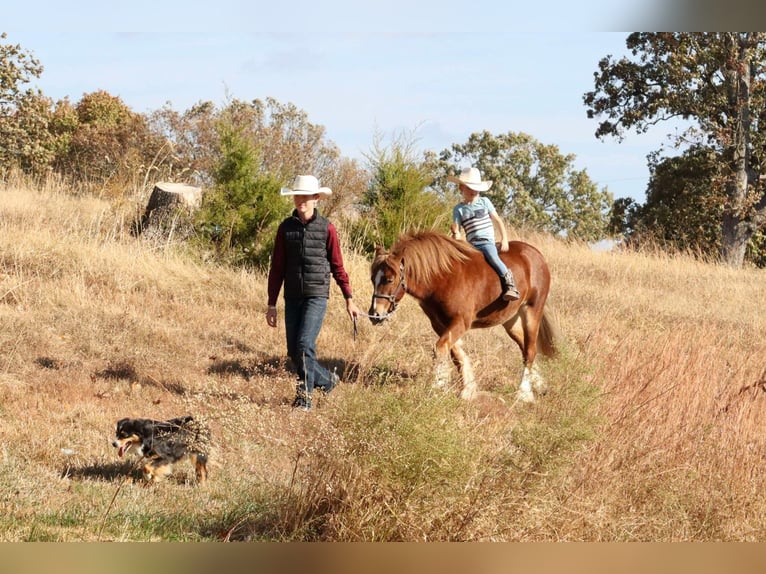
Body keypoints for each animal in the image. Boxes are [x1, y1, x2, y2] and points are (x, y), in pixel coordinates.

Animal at [370, 232, 560, 402]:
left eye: (389, 279)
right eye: (373, 279)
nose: (375, 314)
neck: (443, 278)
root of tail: (536, 254)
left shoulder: (460, 322)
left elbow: (441, 349)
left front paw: (436, 386)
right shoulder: (440, 324)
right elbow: (455, 354)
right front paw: (467, 389)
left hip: (532, 311)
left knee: (530, 350)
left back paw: (524, 393)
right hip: (510, 320)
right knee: (525, 347)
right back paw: (539, 385)